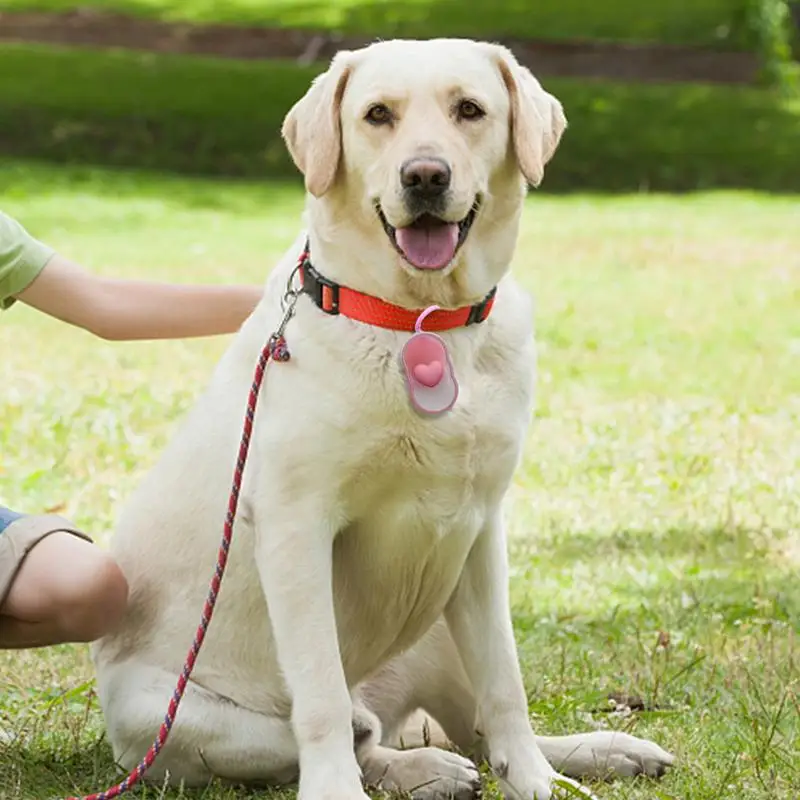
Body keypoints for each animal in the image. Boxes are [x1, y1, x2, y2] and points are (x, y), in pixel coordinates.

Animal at [90, 37, 672, 800]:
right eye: (377, 115)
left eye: (469, 110)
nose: (424, 175)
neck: (422, 320)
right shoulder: (297, 528)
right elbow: (321, 696)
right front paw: (335, 788)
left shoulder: (480, 529)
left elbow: (506, 682)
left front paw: (536, 781)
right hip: (181, 718)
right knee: (357, 732)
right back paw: (423, 770)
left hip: (440, 620)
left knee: (472, 727)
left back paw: (594, 752)